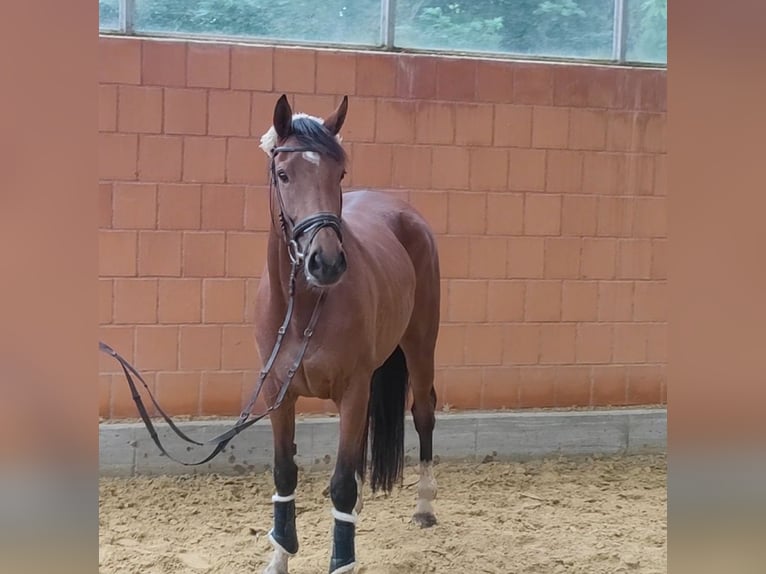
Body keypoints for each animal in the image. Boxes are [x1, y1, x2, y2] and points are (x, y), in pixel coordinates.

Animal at [256, 95, 440, 574]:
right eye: (283, 174)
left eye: (338, 173)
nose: (326, 263)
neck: (304, 308)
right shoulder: (277, 394)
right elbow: (285, 472)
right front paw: (280, 555)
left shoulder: (354, 389)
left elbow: (341, 482)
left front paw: (342, 561)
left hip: (420, 346)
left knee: (424, 412)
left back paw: (425, 506)